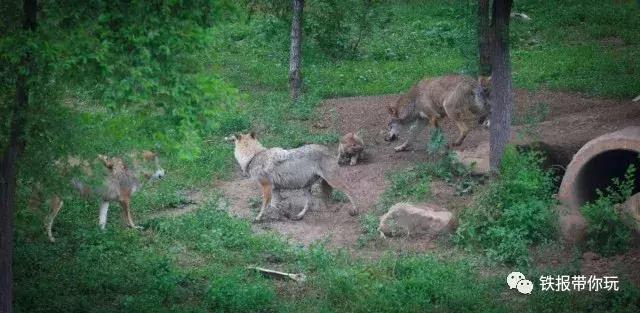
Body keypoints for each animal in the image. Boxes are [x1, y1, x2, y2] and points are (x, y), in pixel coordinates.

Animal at [229, 132, 360, 222]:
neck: (254, 156)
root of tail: (328, 150)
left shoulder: (266, 187)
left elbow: (264, 206)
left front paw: (258, 218)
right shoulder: (275, 189)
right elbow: (274, 205)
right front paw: (283, 215)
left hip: (332, 182)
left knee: (350, 190)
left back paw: (355, 210)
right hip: (306, 188)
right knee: (309, 203)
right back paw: (299, 216)